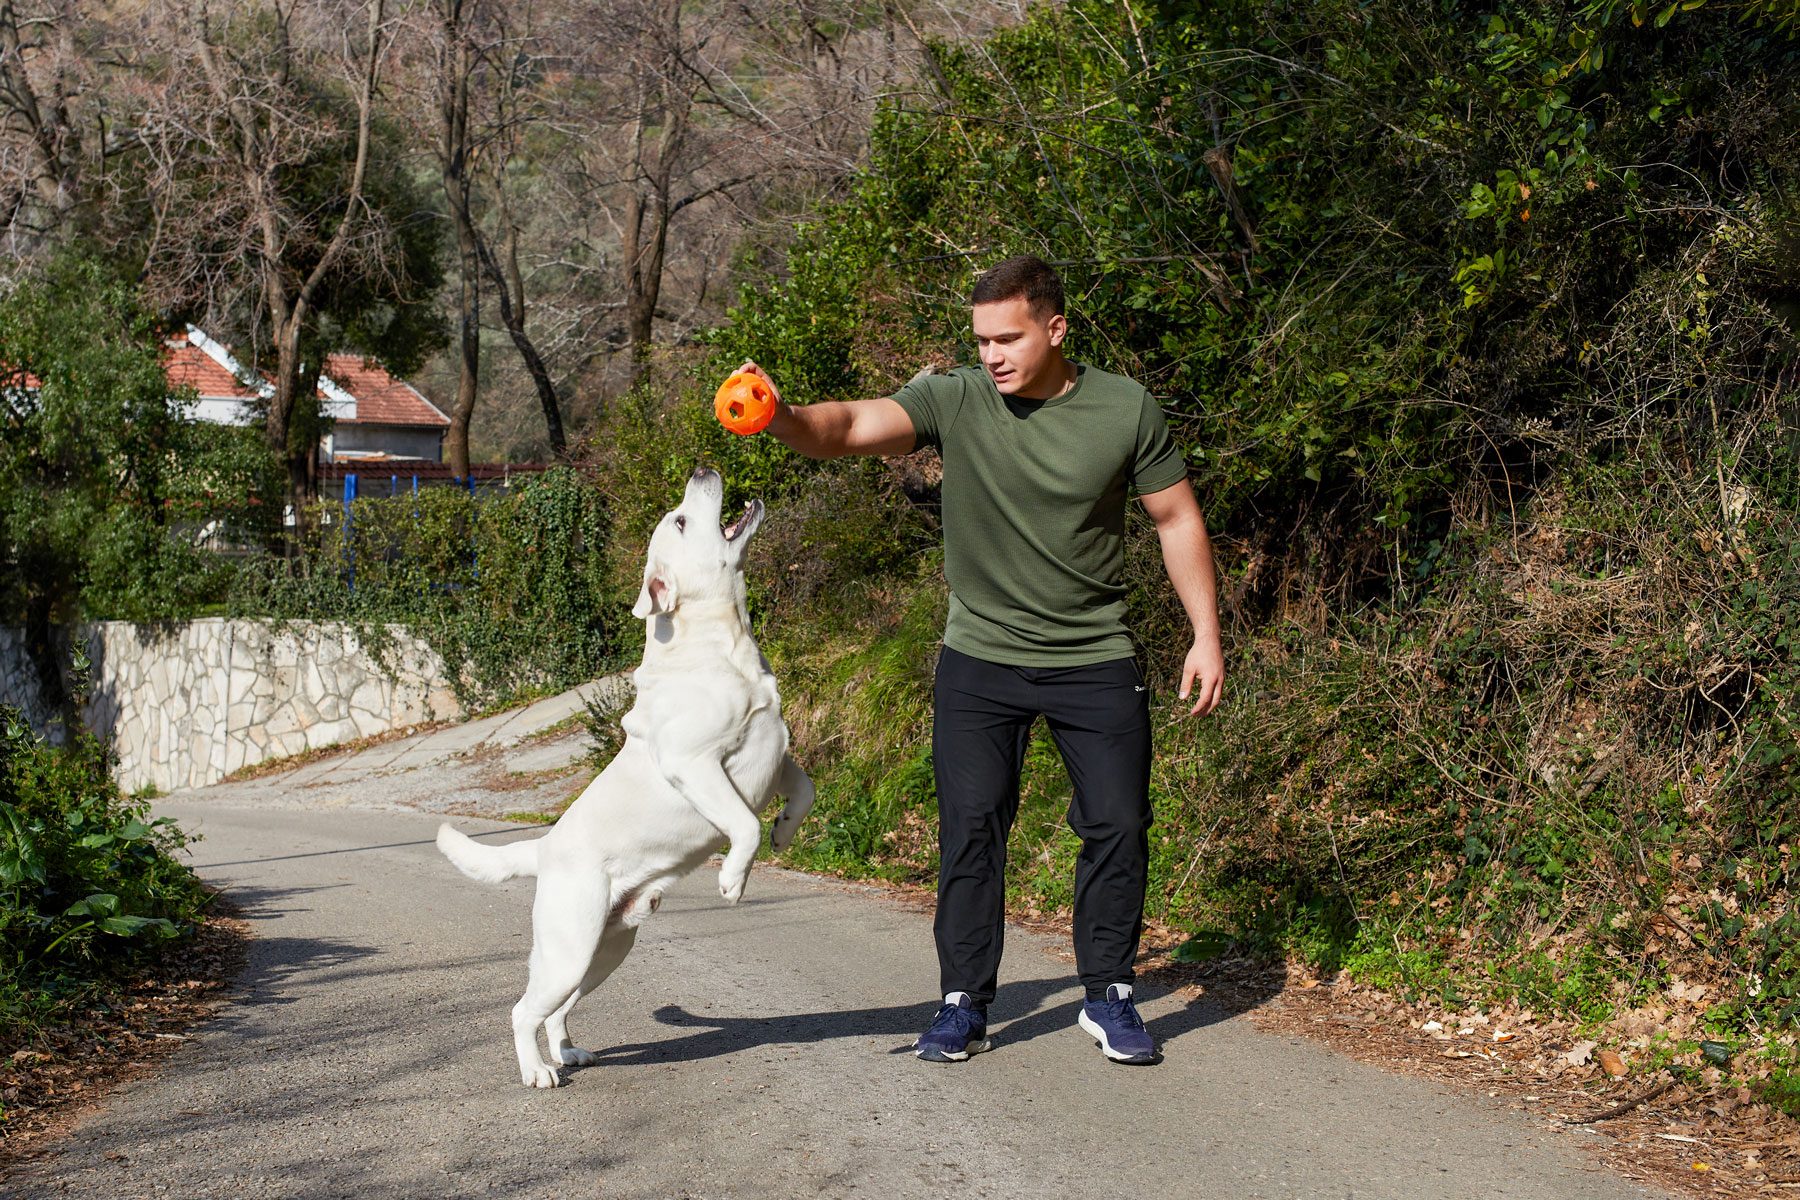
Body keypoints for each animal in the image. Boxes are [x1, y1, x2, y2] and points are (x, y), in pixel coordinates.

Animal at [441, 467, 817, 1086]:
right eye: (682, 521)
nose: (702, 470)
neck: (721, 642)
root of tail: (544, 848)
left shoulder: (775, 751)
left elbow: (804, 791)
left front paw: (786, 830)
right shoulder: (694, 763)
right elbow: (744, 824)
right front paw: (733, 879)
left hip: (606, 952)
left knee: (557, 1011)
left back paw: (567, 1051)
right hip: (570, 951)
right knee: (523, 1010)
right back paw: (537, 1071)